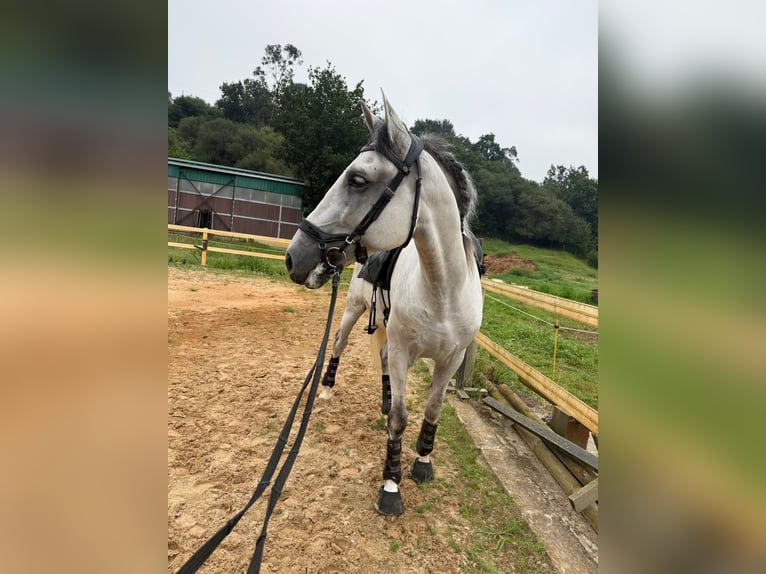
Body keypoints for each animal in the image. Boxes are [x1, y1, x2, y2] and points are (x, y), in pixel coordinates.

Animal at [284, 94, 483, 515]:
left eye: (357, 179)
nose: (294, 257)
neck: (443, 289)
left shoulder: (451, 358)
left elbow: (432, 410)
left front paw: (423, 461)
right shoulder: (405, 349)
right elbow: (399, 419)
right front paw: (391, 486)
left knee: (383, 359)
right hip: (351, 311)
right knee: (340, 343)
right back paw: (327, 389)